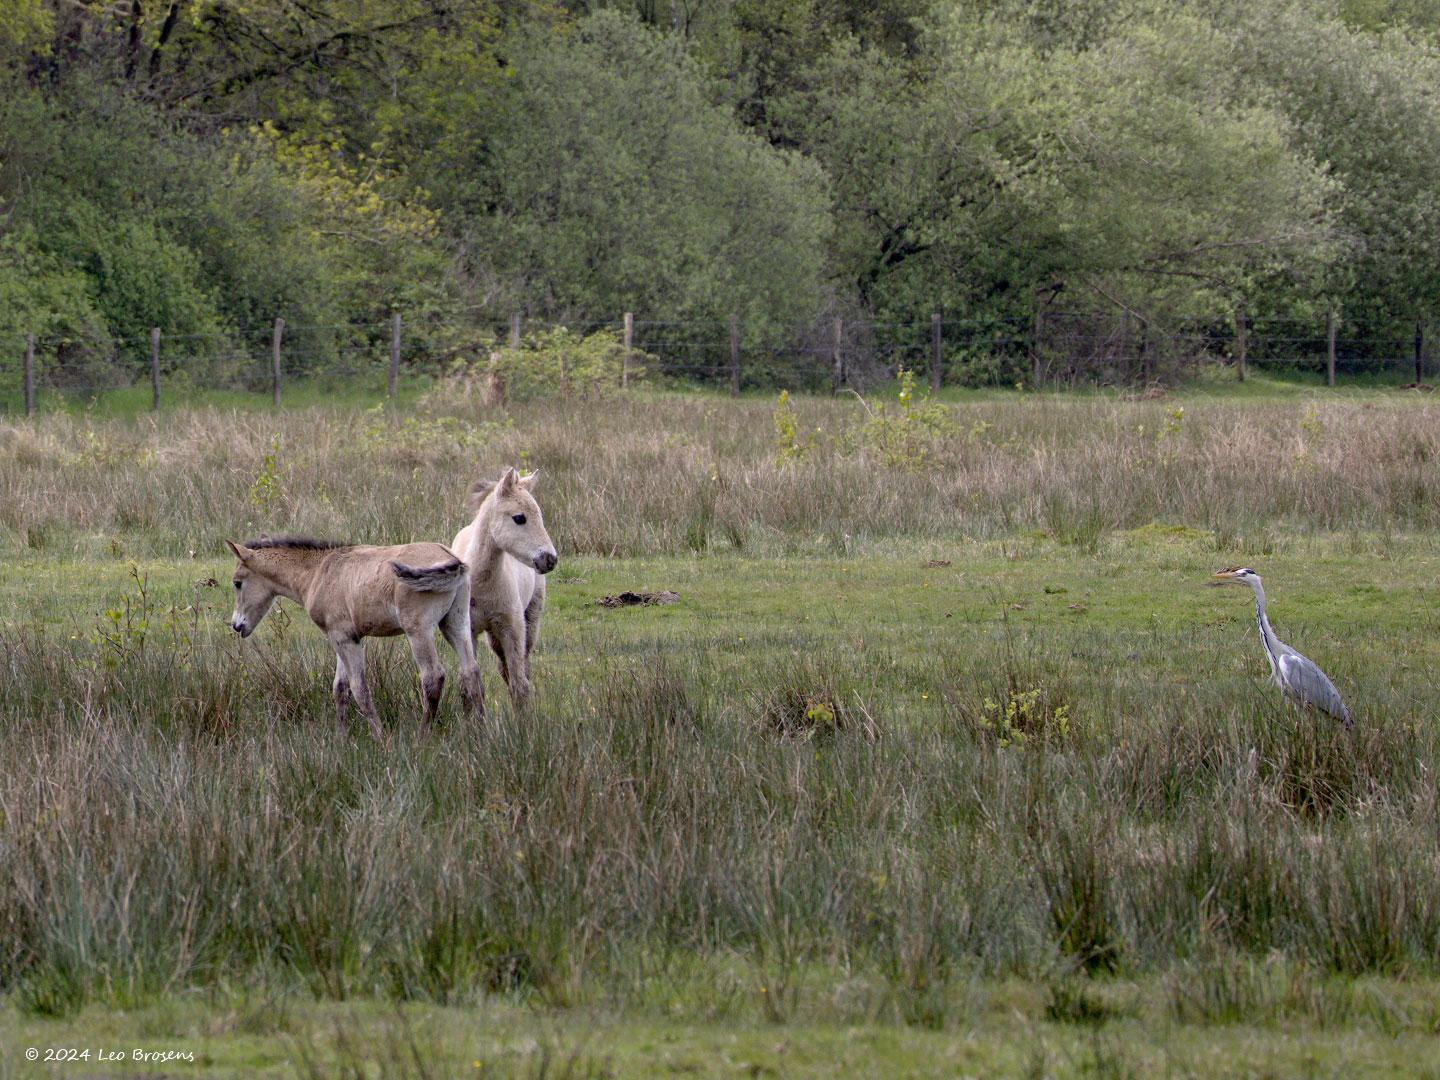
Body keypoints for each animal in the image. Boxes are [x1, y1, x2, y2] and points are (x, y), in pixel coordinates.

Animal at [224, 538, 483, 743]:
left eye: (237, 582)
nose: (237, 626)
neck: (318, 572)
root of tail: (451, 558)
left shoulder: (345, 639)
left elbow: (359, 689)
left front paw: (380, 737)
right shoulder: (341, 638)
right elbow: (340, 688)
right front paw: (341, 738)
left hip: (419, 631)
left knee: (433, 677)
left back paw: (423, 735)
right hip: (455, 624)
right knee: (470, 671)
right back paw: (480, 729)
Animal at [452, 466, 558, 711]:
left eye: (540, 516)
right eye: (519, 518)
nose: (550, 559)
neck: (480, 584)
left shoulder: (512, 628)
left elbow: (520, 685)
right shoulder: (467, 631)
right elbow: (472, 685)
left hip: (528, 619)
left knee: (518, 669)